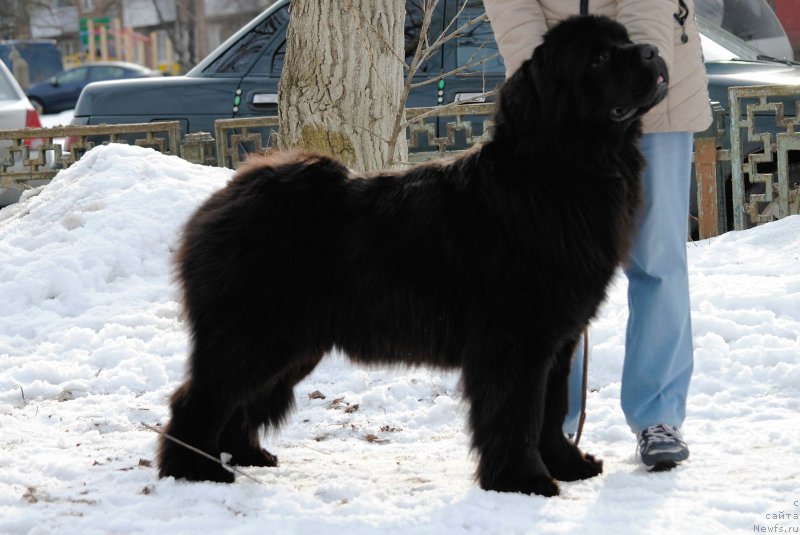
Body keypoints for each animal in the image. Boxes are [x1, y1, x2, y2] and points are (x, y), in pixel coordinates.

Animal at [156, 15, 668, 498]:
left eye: (625, 39)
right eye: (598, 59)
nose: (652, 50)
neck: (557, 174)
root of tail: (226, 196)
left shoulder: (558, 342)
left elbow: (552, 409)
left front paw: (567, 465)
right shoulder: (515, 342)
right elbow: (517, 413)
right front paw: (523, 481)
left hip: (289, 345)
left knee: (240, 403)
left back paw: (246, 456)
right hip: (252, 336)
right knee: (199, 400)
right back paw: (194, 470)